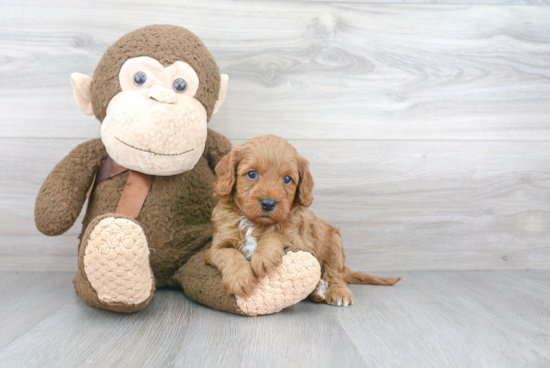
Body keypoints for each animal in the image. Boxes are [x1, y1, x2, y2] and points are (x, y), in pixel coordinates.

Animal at [206, 135, 402, 304]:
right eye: (252, 174)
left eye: (287, 179)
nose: (268, 203)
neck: (256, 223)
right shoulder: (214, 248)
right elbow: (228, 253)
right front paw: (240, 278)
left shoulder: (301, 242)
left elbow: (276, 235)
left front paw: (263, 256)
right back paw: (317, 291)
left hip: (335, 245)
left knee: (335, 274)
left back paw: (337, 292)